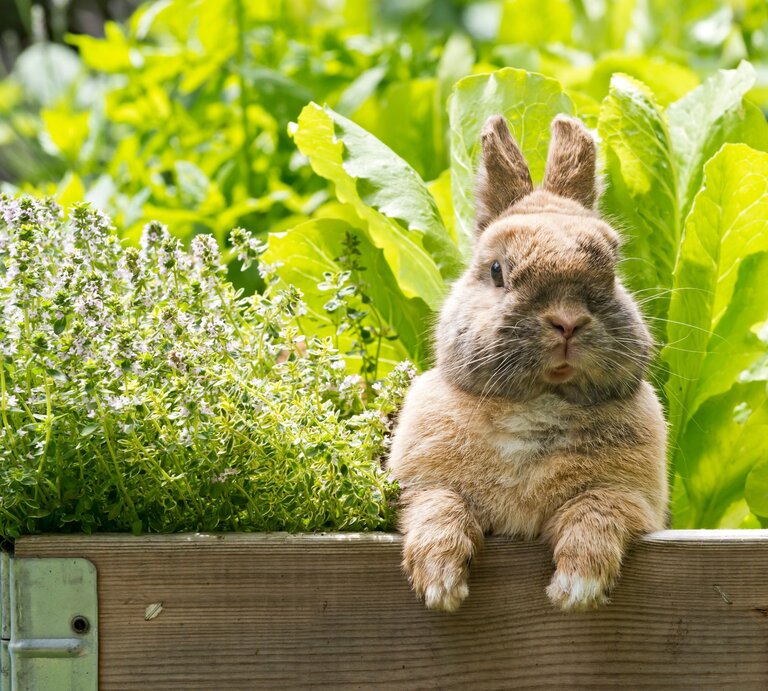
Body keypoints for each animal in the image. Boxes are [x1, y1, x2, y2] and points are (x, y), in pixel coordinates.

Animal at [386, 114, 668, 613]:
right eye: (497, 271)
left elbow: (596, 514)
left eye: (613, 266)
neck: (539, 402)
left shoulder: (629, 496)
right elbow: (438, 507)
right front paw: (441, 586)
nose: (567, 321)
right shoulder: (422, 485)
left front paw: (576, 589)